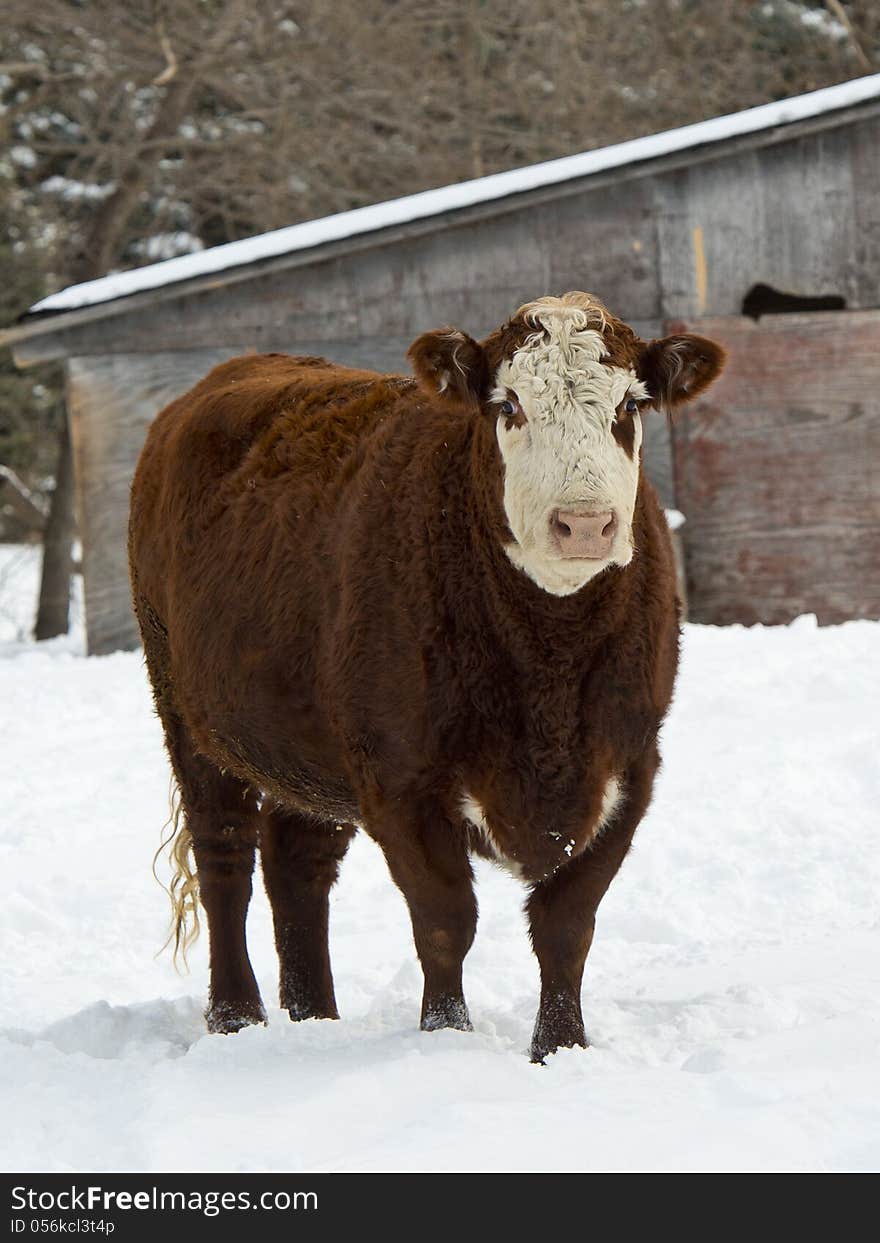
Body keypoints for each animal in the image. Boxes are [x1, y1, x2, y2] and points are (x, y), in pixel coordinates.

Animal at [128, 288, 720, 1059]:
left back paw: (315, 1016)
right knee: (224, 857)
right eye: (509, 404)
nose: (584, 524)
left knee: (297, 864)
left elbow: (566, 925)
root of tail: (229, 372)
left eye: (629, 405)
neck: (548, 672)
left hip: (313, 746)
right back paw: (237, 1016)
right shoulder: (401, 776)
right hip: (188, 712)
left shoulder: (628, 767)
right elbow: (445, 920)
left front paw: (560, 1049)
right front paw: (445, 1037)